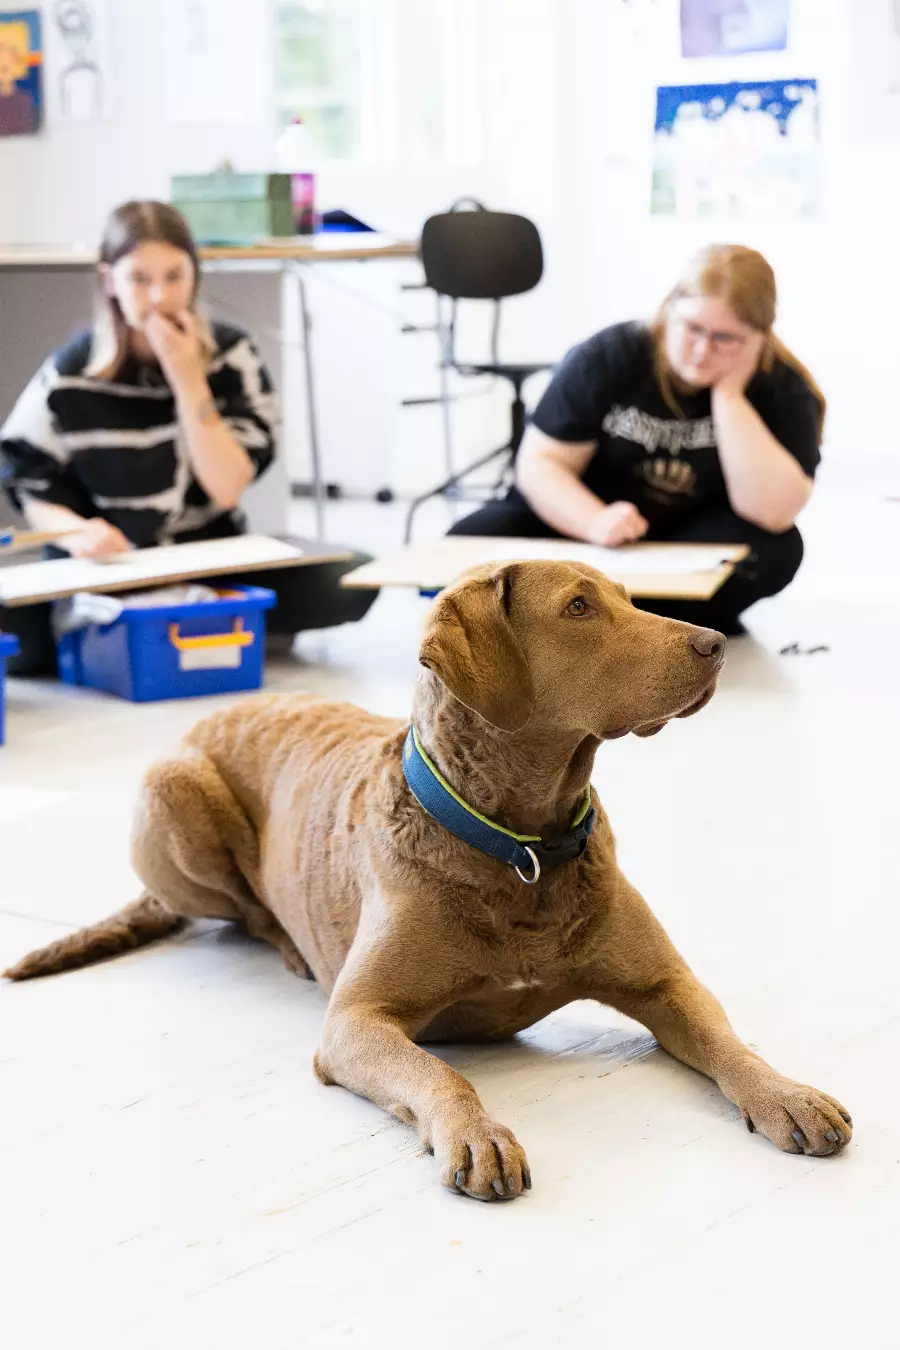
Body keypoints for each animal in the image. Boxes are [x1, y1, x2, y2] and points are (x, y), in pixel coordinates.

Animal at [5, 561, 852, 1199]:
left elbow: (725, 1038)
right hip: (175, 792)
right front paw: (476, 1135)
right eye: (579, 607)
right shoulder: (355, 1022)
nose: (715, 643)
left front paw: (787, 1094)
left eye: (626, 594)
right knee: (242, 912)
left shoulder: (665, 983)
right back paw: (287, 944)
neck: (522, 847)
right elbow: (439, 1073)